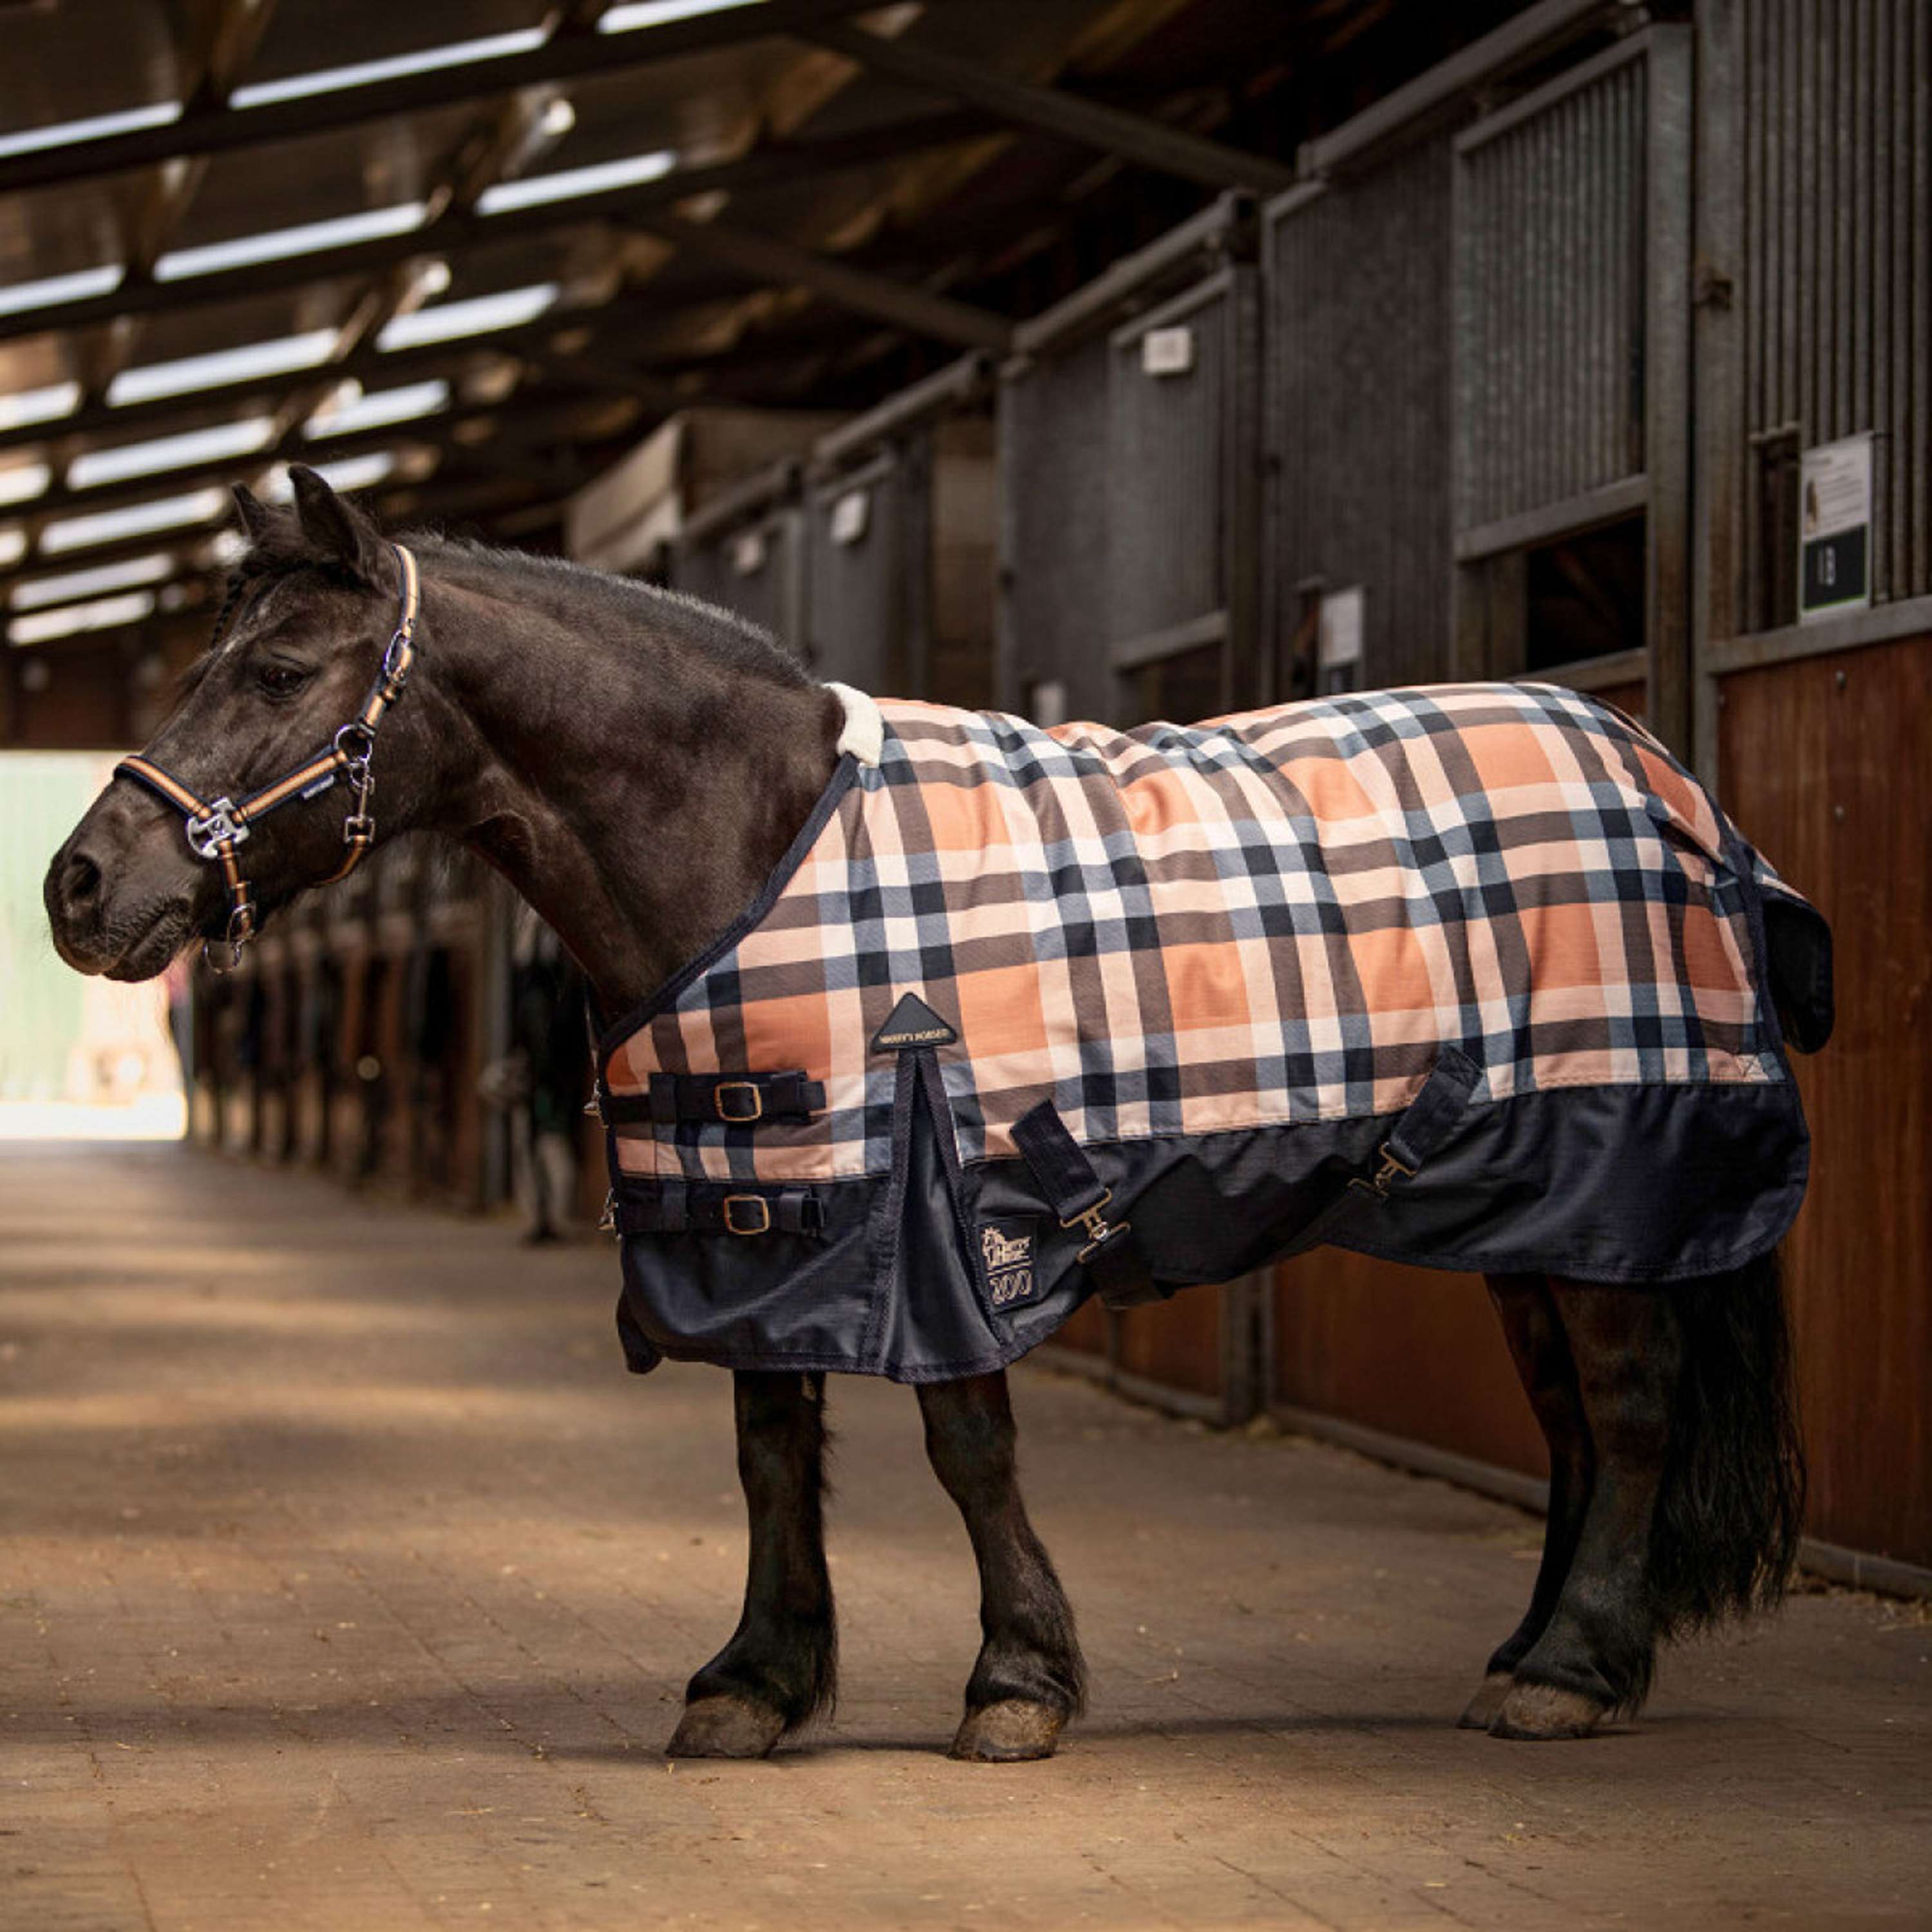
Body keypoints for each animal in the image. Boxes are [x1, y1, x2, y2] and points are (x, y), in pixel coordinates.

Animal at [44, 467, 1818, 1762]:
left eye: (279, 670)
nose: (77, 886)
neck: (749, 840)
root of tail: (1662, 777)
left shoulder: (937, 1197)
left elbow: (967, 1445)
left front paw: (1016, 1682)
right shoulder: (758, 1193)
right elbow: (769, 1446)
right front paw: (753, 1682)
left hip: (1613, 1168)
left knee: (1631, 1405)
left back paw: (1570, 1673)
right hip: (1534, 1205)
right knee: (1572, 1421)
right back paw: (1546, 1650)